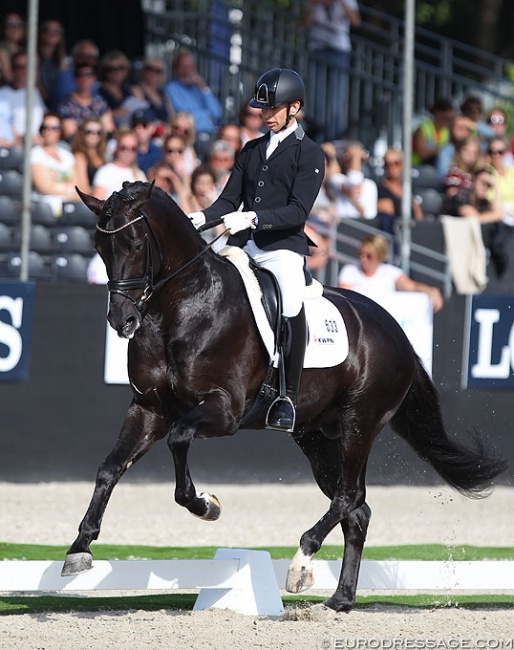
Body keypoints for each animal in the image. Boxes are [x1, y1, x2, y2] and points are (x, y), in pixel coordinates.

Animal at [61, 182, 504, 612]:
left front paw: (207, 504)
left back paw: (300, 564)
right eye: (100, 248)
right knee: (357, 510)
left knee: (348, 496)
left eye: (136, 244)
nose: (122, 321)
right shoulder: (149, 409)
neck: (183, 307)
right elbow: (109, 468)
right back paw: (339, 599)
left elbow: (179, 442)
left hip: (360, 422)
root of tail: (397, 332)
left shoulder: (224, 411)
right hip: (316, 436)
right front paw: (79, 550)